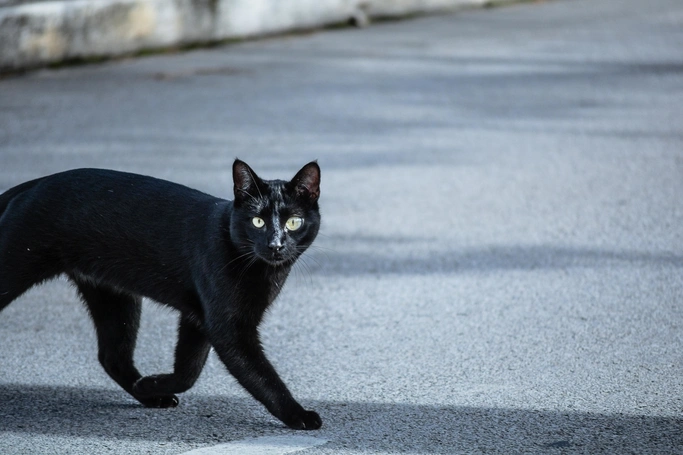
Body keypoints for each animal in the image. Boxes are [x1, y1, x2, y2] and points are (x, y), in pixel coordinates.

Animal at [0, 159, 324, 432]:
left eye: (293, 222)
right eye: (258, 221)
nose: (275, 245)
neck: (261, 271)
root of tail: (35, 182)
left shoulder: (198, 318)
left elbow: (189, 370)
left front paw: (151, 385)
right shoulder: (228, 328)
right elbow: (262, 376)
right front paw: (298, 415)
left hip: (113, 297)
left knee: (112, 356)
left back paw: (147, 395)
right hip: (16, 271)